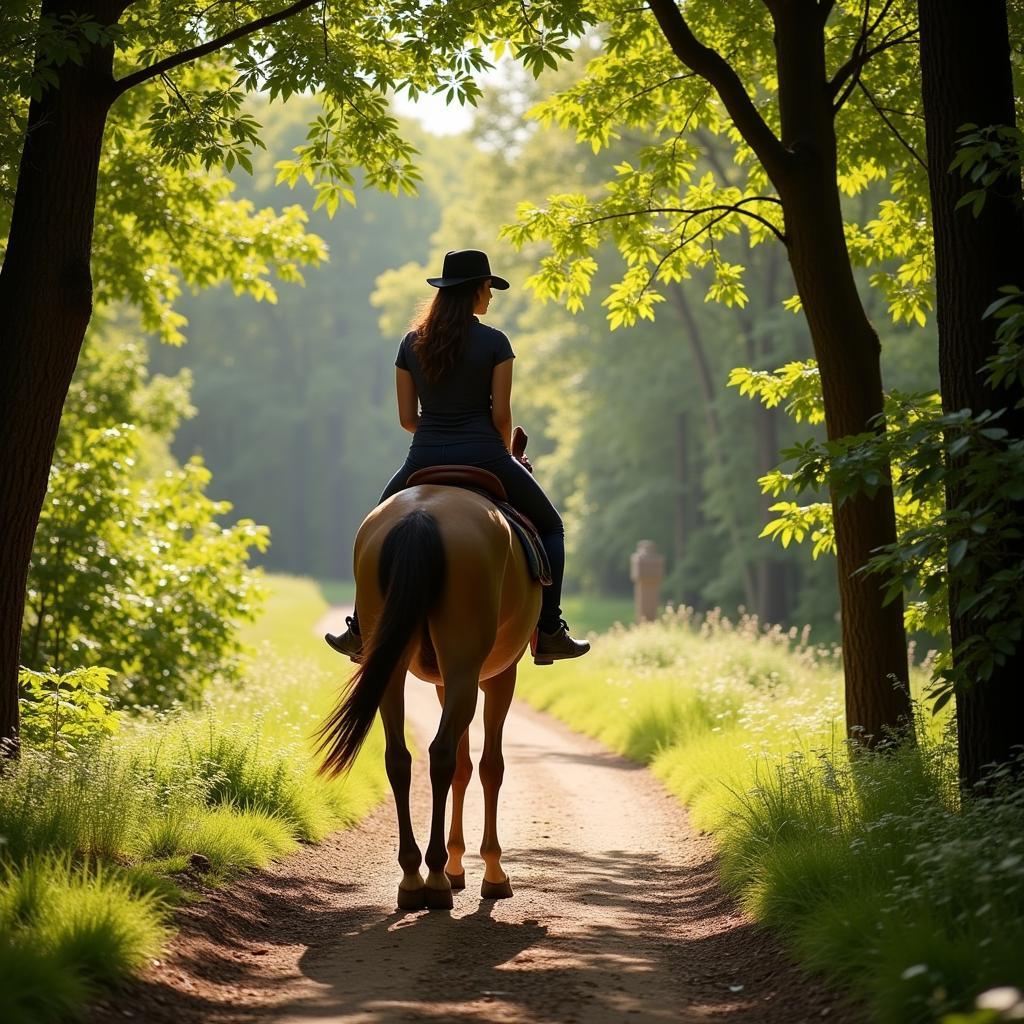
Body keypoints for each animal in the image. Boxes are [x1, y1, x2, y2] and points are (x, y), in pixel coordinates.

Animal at [313, 475, 540, 909]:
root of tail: (420, 516)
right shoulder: (500, 676)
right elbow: (489, 767)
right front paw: (491, 871)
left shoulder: (443, 684)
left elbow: (465, 769)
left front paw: (457, 865)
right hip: (465, 669)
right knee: (441, 755)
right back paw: (434, 878)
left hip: (398, 667)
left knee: (400, 759)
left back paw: (412, 876)